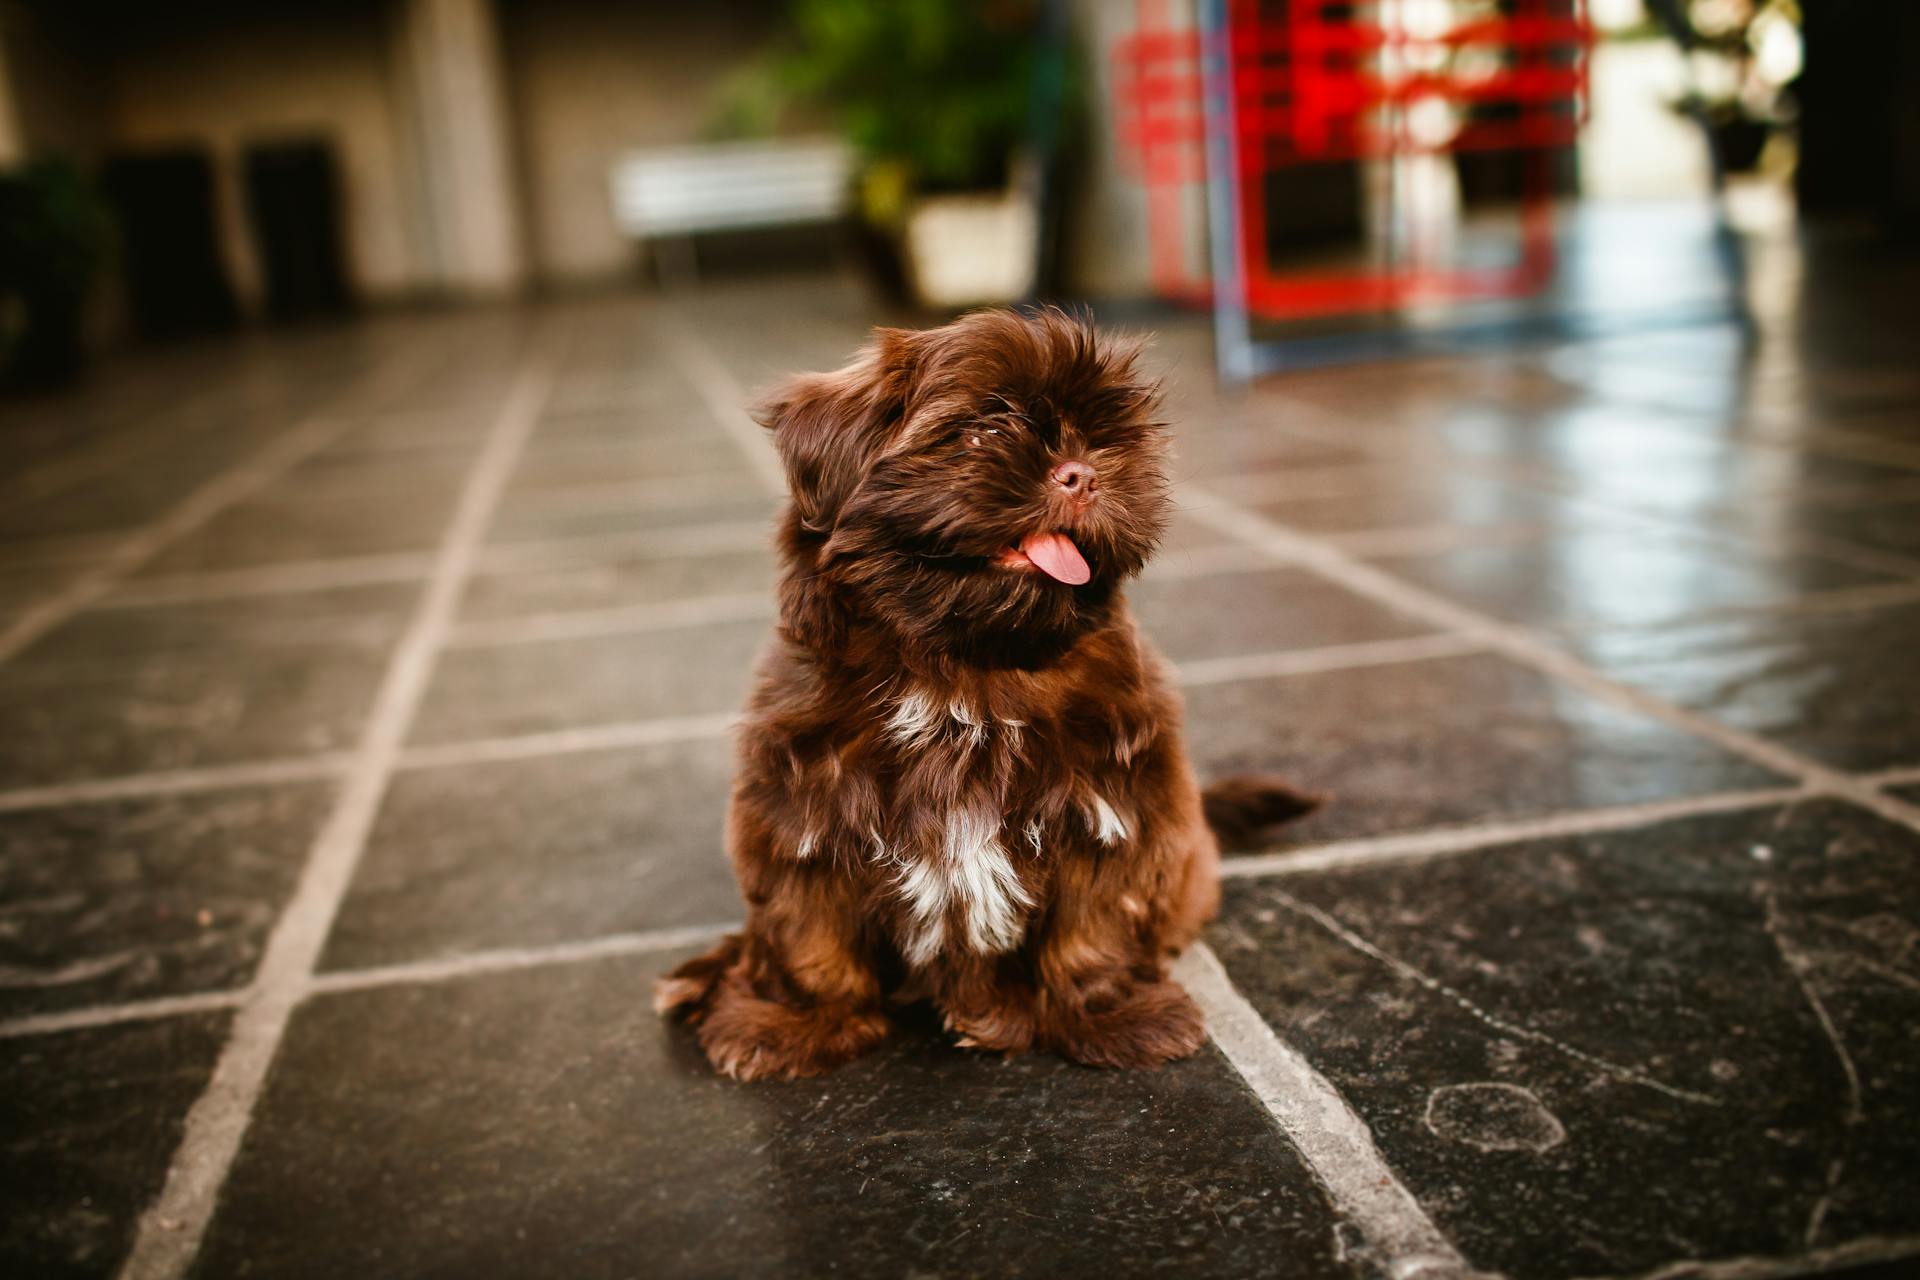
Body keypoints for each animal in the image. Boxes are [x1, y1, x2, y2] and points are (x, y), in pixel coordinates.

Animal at [652, 310, 1313, 1082]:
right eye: (985, 429)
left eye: (1104, 436)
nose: (1083, 473)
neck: (967, 671)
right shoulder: (799, 809)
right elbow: (806, 928)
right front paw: (796, 1019)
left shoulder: (1114, 805)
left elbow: (1096, 924)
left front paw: (1108, 1012)